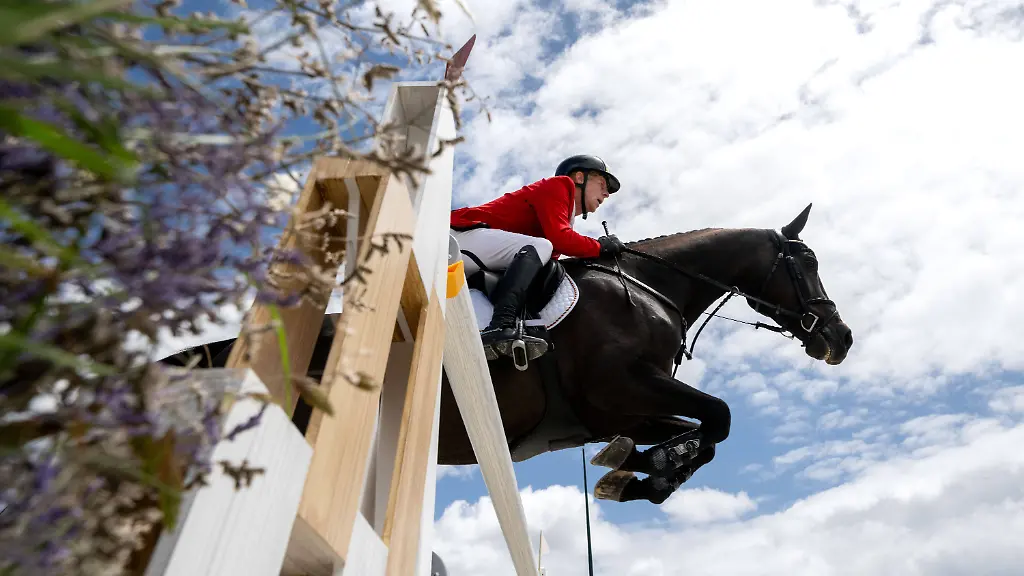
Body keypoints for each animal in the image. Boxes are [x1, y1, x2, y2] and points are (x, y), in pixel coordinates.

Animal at [161, 204, 853, 506]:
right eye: (808, 261)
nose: (840, 339)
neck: (650, 287)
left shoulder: (620, 410)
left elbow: (703, 433)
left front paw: (638, 471)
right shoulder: (623, 387)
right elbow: (720, 417)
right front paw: (644, 470)